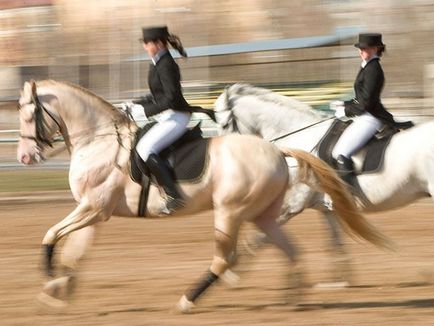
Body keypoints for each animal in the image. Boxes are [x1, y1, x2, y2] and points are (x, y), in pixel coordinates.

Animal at [15, 80, 388, 312]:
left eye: (30, 114)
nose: (24, 158)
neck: (99, 140)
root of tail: (277, 150)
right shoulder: (94, 212)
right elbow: (74, 253)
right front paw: (58, 293)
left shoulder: (92, 208)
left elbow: (50, 236)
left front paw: (49, 281)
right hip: (262, 214)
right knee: (289, 250)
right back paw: (294, 299)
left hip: (229, 211)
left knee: (224, 259)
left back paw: (188, 301)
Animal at [214, 83, 434, 282]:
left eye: (224, 125)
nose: (221, 158)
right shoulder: (327, 207)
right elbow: (334, 241)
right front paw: (342, 277)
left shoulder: (292, 205)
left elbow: (259, 239)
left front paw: (230, 271)